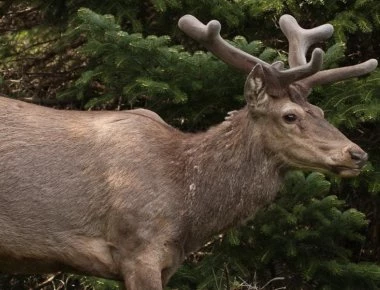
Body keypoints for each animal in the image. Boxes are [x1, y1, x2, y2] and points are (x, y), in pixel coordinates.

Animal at [0, 14, 376, 290]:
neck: (188, 204)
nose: (357, 154)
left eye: (321, 112)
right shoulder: (137, 248)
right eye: (290, 116)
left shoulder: (166, 261)